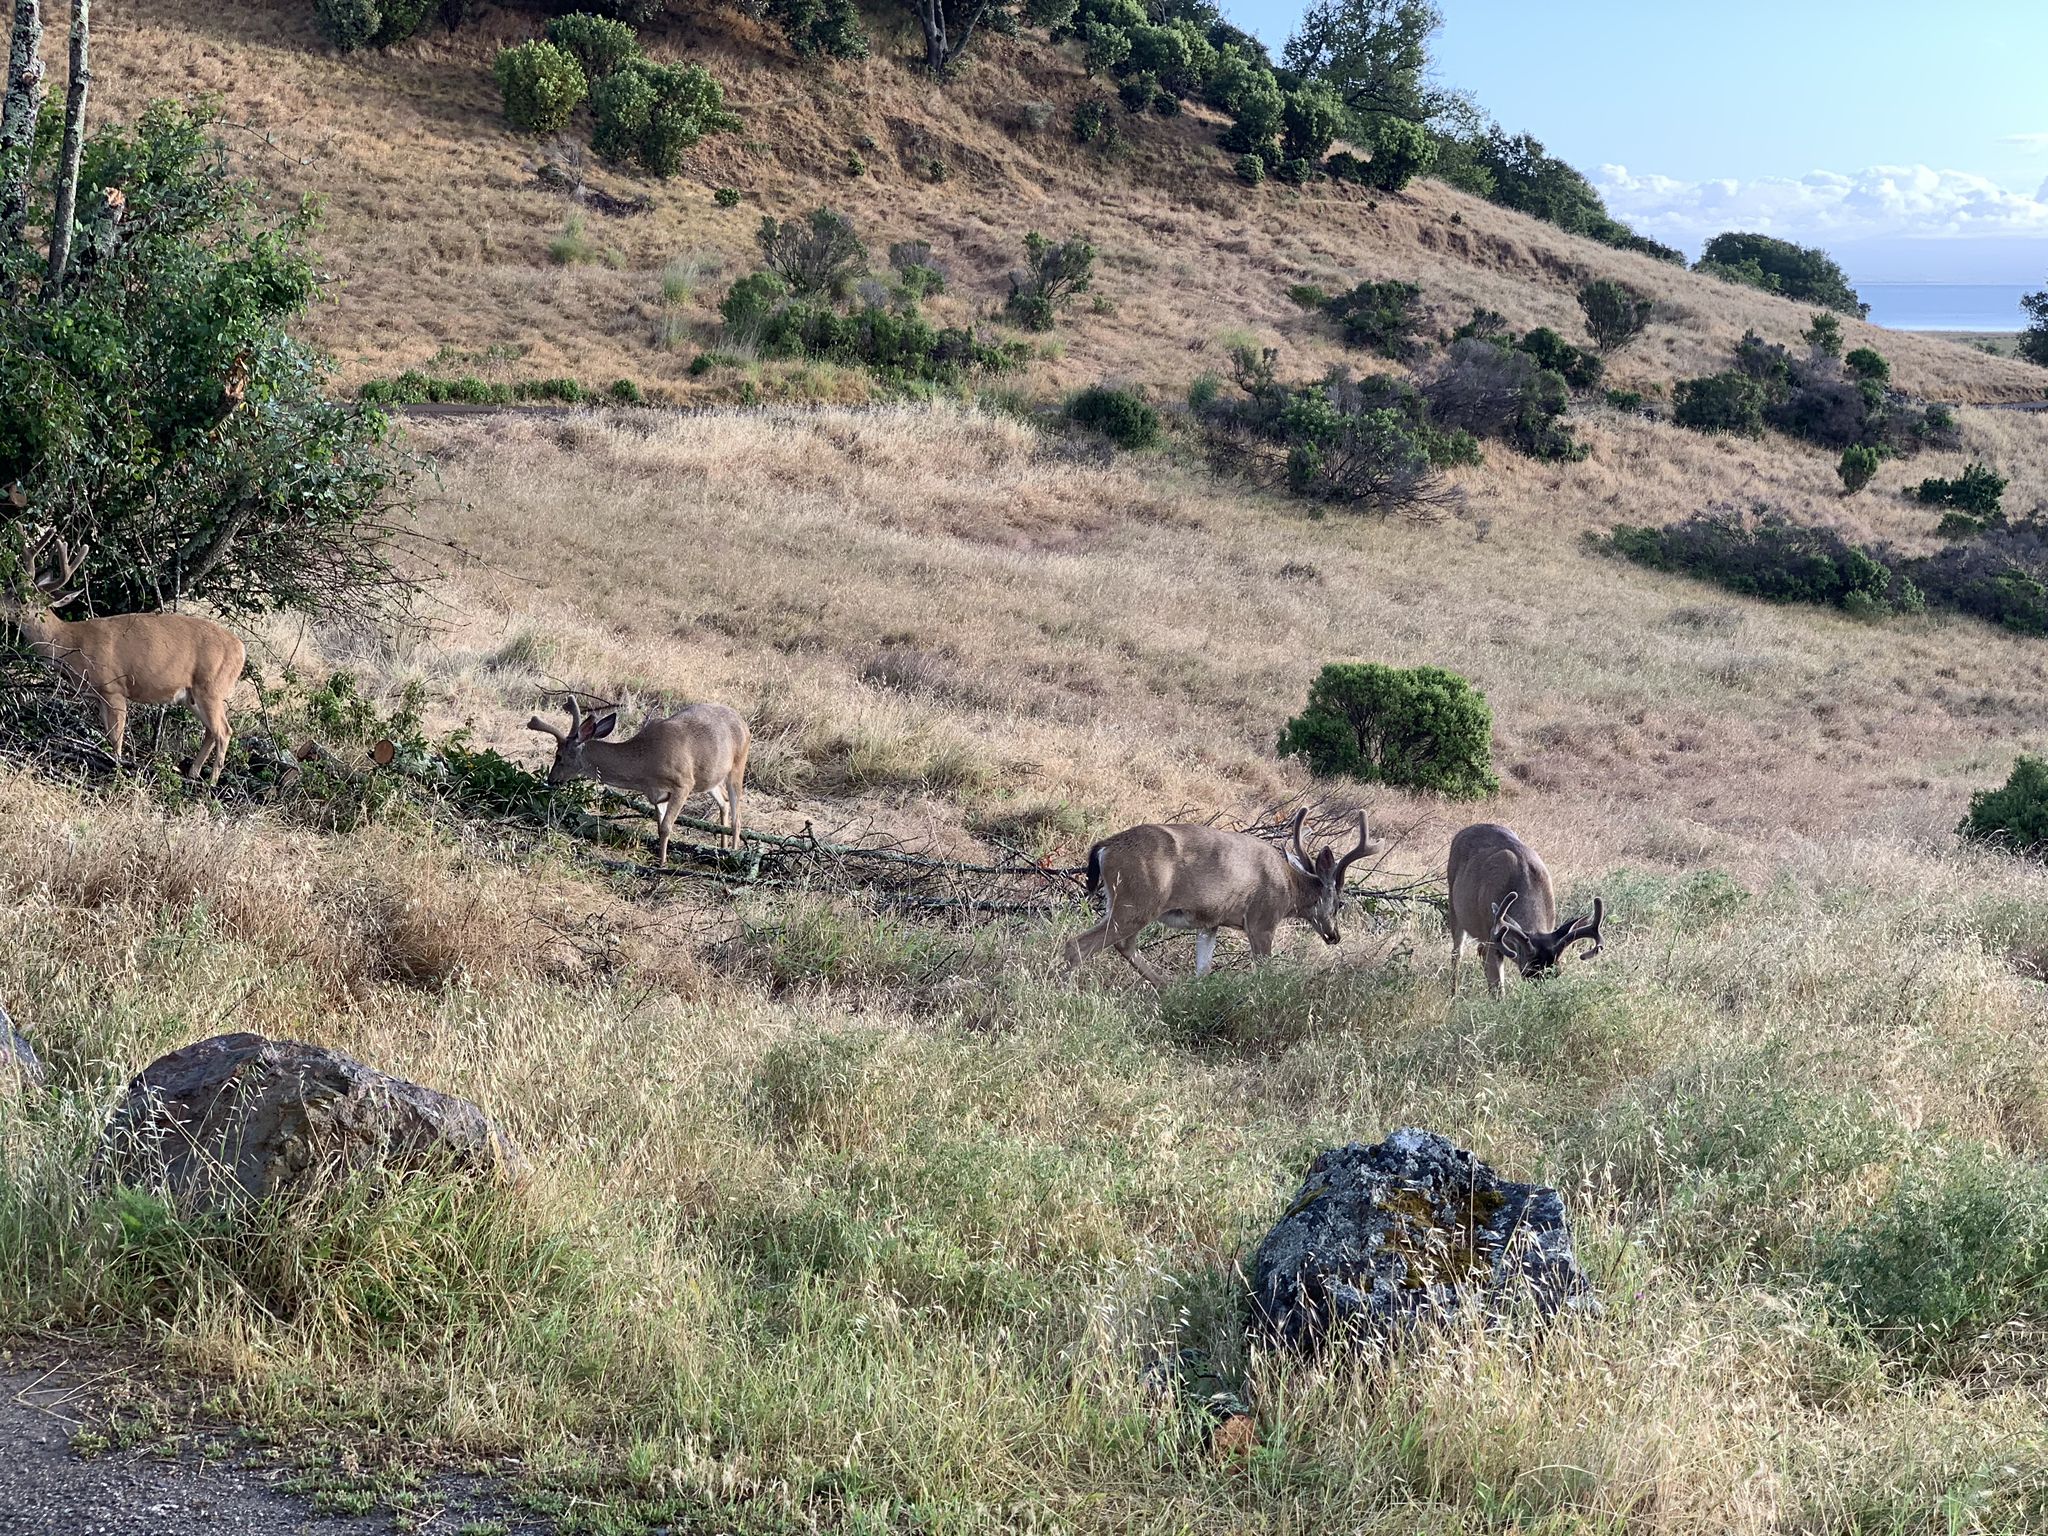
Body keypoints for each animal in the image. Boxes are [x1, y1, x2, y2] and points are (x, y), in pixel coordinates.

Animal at [2, 530, 245, 785]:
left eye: (20, 598)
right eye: (8, 589)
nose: (0, 607)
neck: (71, 641)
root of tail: (241, 649)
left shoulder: (114, 687)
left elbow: (117, 737)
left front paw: (118, 769)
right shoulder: (98, 696)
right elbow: (109, 734)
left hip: (211, 687)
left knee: (224, 731)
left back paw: (211, 782)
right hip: (192, 696)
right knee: (210, 731)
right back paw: (193, 774)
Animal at [527, 695, 750, 866]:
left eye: (559, 756)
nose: (551, 780)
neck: (645, 765)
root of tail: (744, 723)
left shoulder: (684, 783)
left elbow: (666, 827)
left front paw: (661, 864)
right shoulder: (657, 794)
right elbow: (660, 826)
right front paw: (660, 858)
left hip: (738, 766)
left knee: (737, 817)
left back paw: (734, 853)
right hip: (710, 778)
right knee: (723, 801)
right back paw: (722, 848)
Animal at [1065, 808, 1384, 985]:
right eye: (1340, 903)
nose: (1334, 936)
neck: (1289, 884)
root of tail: (1106, 846)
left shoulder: (1211, 922)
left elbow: (1203, 968)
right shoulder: (1261, 920)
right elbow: (1264, 969)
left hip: (1127, 903)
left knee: (1124, 945)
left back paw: (1168, 987)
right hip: (1138, 900)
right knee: (1079, 945)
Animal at [1446, 823, 1604, 997]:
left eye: (1556, 973)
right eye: (1528, 972)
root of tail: (1463, 831)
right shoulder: (1494, 937)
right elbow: (1498, 990)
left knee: (1479, 949)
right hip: (1453, 903)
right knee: (1457, 953)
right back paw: (1453, 995)